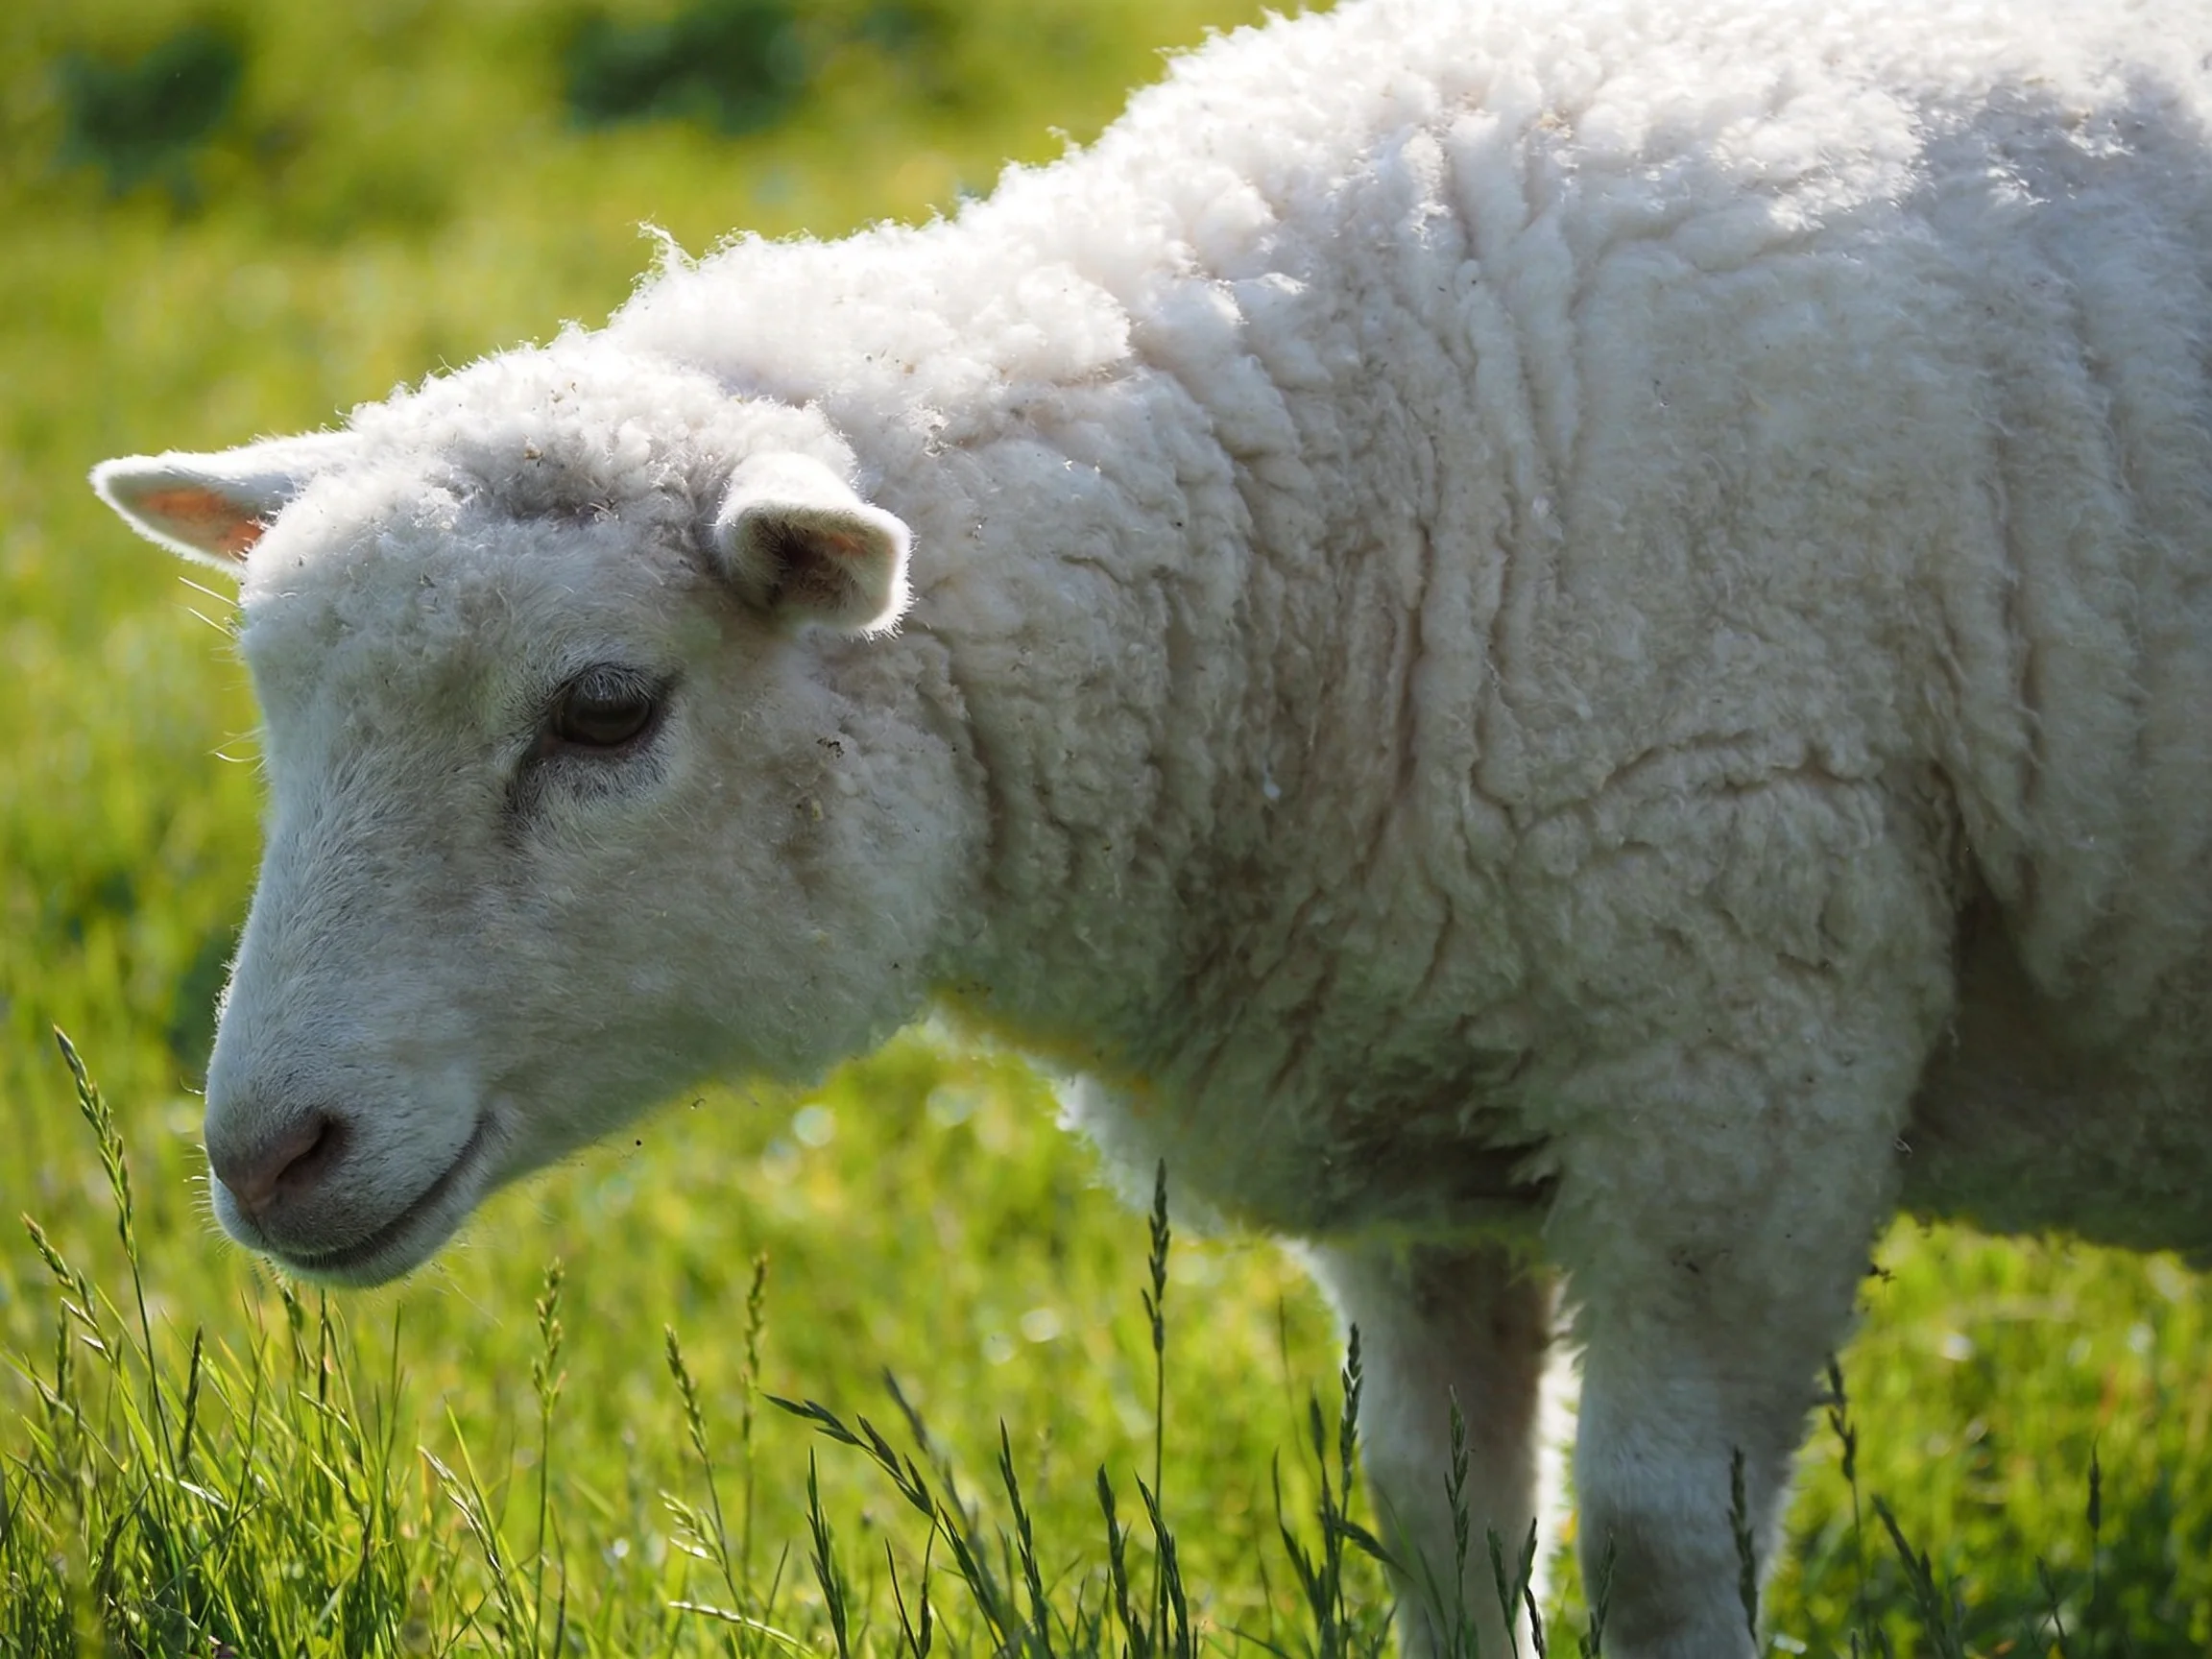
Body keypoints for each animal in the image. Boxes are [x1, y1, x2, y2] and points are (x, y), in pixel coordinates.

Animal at [88, 0, 2212, 1652]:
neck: (1343, 502)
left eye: (605, 710)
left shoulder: (1744, 1078)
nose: (267, 1153)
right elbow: (1444, 1524)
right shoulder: (1438, 1130)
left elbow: (1657, 1545)